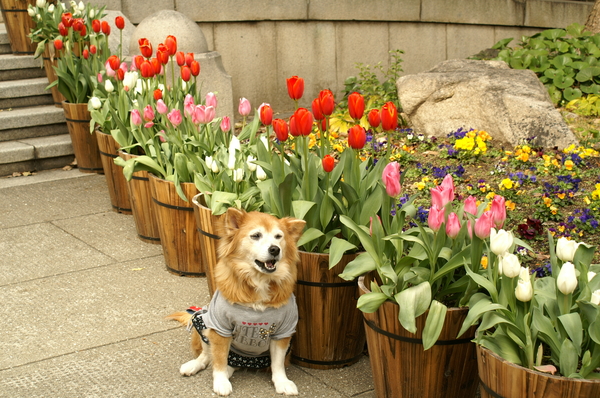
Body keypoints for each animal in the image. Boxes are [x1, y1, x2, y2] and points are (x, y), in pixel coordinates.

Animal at [168, 208, 304, 394]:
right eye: (256, 236)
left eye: (278, 236)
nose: (275, 249)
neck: (258, 283)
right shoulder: (220, 328)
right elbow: (218, 360)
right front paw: (220, 382)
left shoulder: (283, 331)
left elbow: (278, 363)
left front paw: (282, 382)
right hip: (203, 319)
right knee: (206, 355)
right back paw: (194, 366)